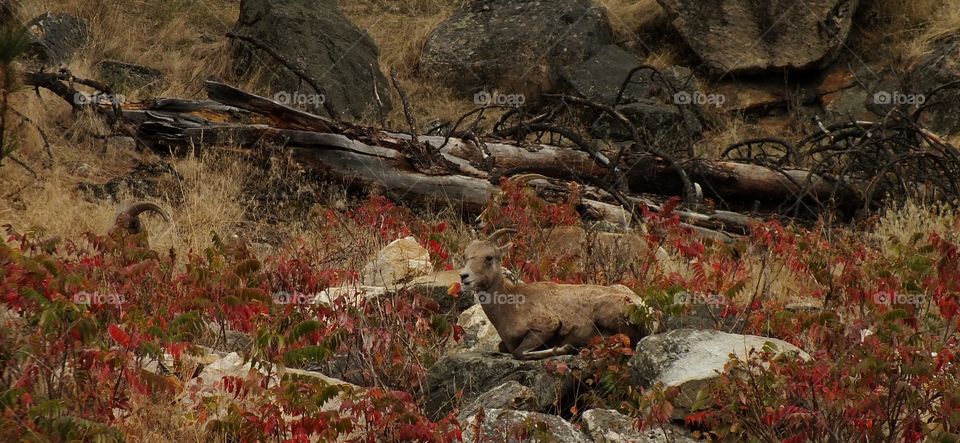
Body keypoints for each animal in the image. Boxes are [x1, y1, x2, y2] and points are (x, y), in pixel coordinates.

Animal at [458, 229, 656, 360]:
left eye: (489, 257)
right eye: (466, 256)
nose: (464, 276)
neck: (509, 305)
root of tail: (645, 309)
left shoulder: (546, 326)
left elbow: (519, 353)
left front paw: (564, 348)